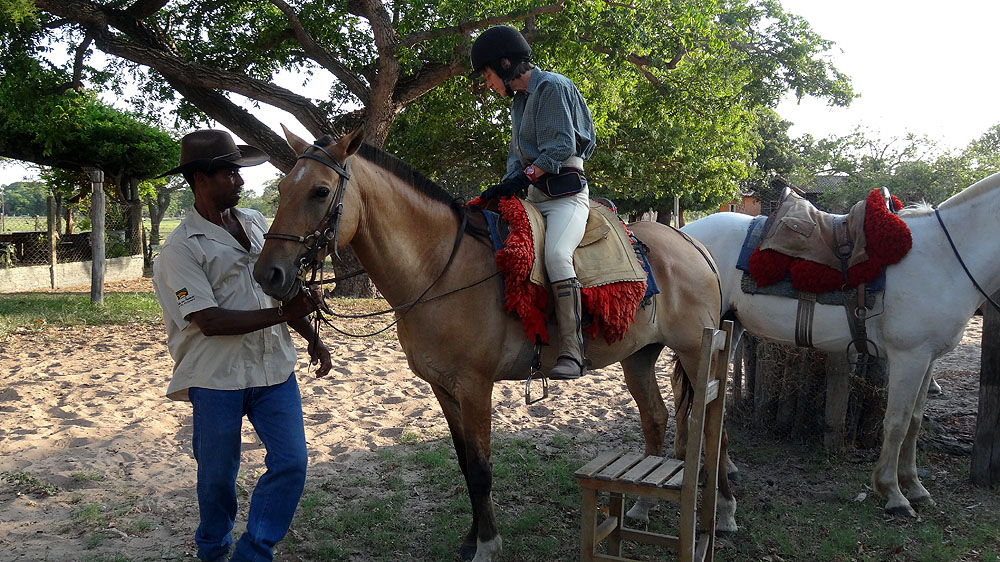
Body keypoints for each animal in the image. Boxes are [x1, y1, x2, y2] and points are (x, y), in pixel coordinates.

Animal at [250, 124, 736, 556]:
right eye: (283, 187)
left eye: (319, 191)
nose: (267, 273)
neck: (440, 268)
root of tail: (692, 243)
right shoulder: (443, 388)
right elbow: (466, 464)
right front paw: (471, 538)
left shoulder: (474, 386)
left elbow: (482, 468)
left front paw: (487, 545)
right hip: (638, 357)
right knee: (655, 418)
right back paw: (638, 509)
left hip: (697, 354)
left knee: (716, 430)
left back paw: (726, 510)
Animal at [680, 171, 1000, 516]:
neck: (944, 258)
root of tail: (685, 233)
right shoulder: (909, 357)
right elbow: (897, 422)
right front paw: (893, 493)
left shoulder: (928, 359)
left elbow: (914, 422)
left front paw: (914, 487)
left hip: (730, 328)